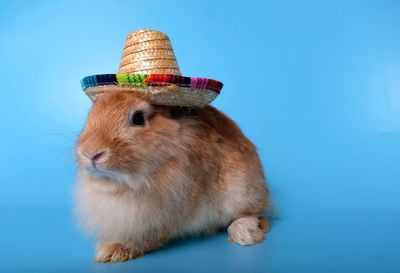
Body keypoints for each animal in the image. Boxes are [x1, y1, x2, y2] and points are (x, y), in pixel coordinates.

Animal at [73, 91, 270, 262]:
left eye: (138, 118)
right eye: (91, 114)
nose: (90, 153)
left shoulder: (167, 211)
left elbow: (150, 235)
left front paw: (113, 250)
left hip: (240, 189)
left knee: (252, 214)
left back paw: (244, 234)